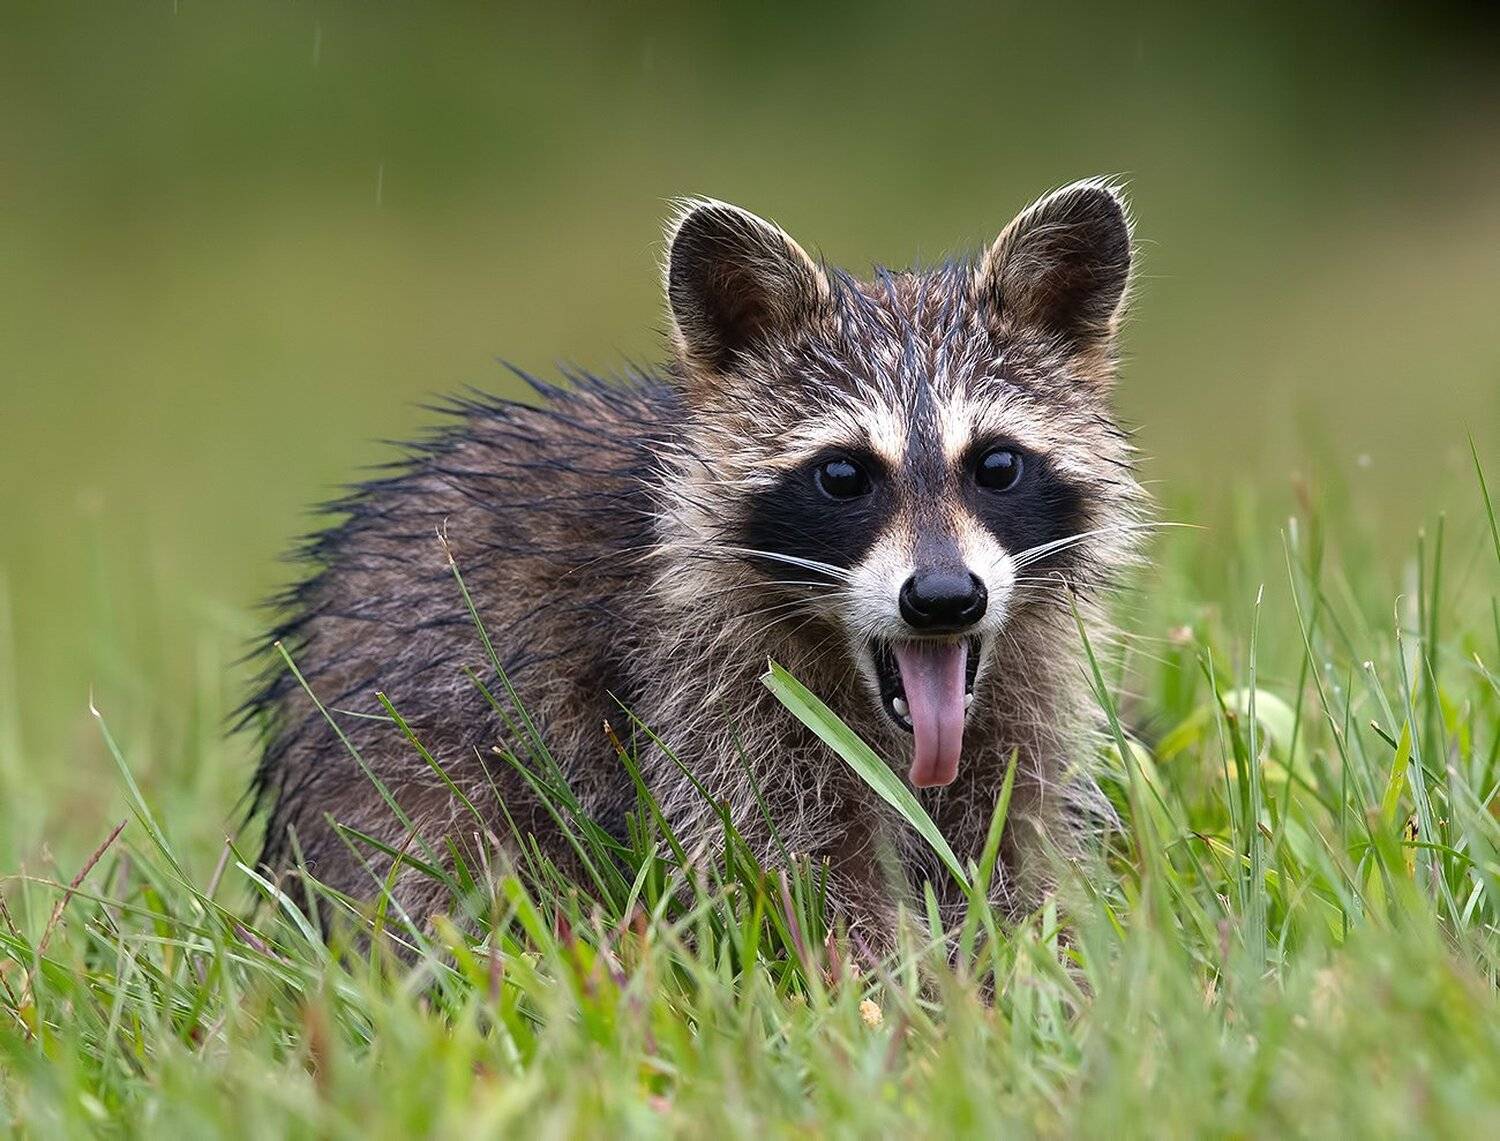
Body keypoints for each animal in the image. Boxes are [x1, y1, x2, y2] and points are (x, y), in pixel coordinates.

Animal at [246, 178, 1145, 942]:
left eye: (996, 465)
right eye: (843, 474)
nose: (945, 598)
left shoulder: (1031, 686)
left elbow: (1016, 841)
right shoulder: (697, 684)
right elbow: (787, 865)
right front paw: (901, 985)